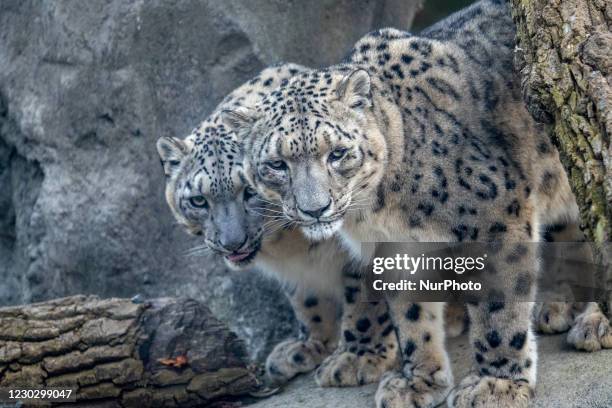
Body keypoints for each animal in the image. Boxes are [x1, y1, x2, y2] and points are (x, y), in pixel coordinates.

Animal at [224, 1, 612, 406]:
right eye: (277, 164)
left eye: (337, 153)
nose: (314, 209)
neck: (379, 212)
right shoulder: (397, 249)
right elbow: (411, 316)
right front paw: (417, 382)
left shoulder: (496, 219)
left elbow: (498, 309)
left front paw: (496, 384)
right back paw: (560, 305)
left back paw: (596, 322)